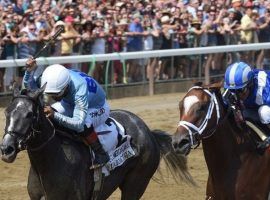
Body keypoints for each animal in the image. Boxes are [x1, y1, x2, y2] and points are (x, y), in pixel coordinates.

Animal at [0, 86, 194, 200]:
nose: (6, 148)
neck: (51, 159)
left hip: (137, 182)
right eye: (7, 112)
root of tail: (147, 131)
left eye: (29, 115)